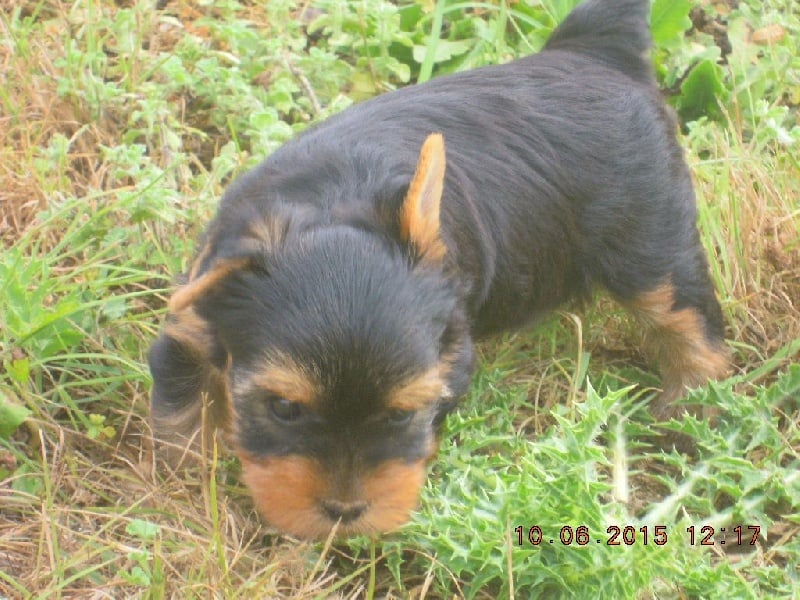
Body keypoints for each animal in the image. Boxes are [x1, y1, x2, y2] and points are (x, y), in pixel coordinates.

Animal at [150, 0, 732, 540]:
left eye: (402, 415)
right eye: (284, 409)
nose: (345, 513)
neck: (331, 203)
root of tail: (596, 50)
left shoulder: (451, 355)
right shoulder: (191, 319)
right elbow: (180, 409)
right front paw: (190, 479)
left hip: (652, 245)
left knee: (688, 319)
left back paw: (690, 410)